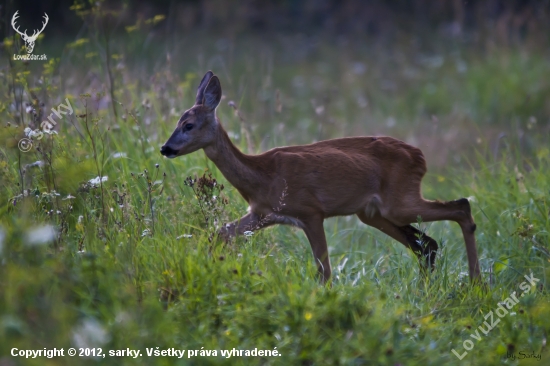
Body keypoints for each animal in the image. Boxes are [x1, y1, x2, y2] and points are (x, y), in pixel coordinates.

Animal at [161, 71, 484, 284]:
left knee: (460, 206)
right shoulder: (261, 214)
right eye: (177, 121)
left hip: (399, 201)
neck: (263, 177)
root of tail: (420, 156)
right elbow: (218, 233)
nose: (165, 148)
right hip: (372, 213)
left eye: (188, 125)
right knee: (426, 243)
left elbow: (324, 271)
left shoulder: (311, 211)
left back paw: (475, 283)